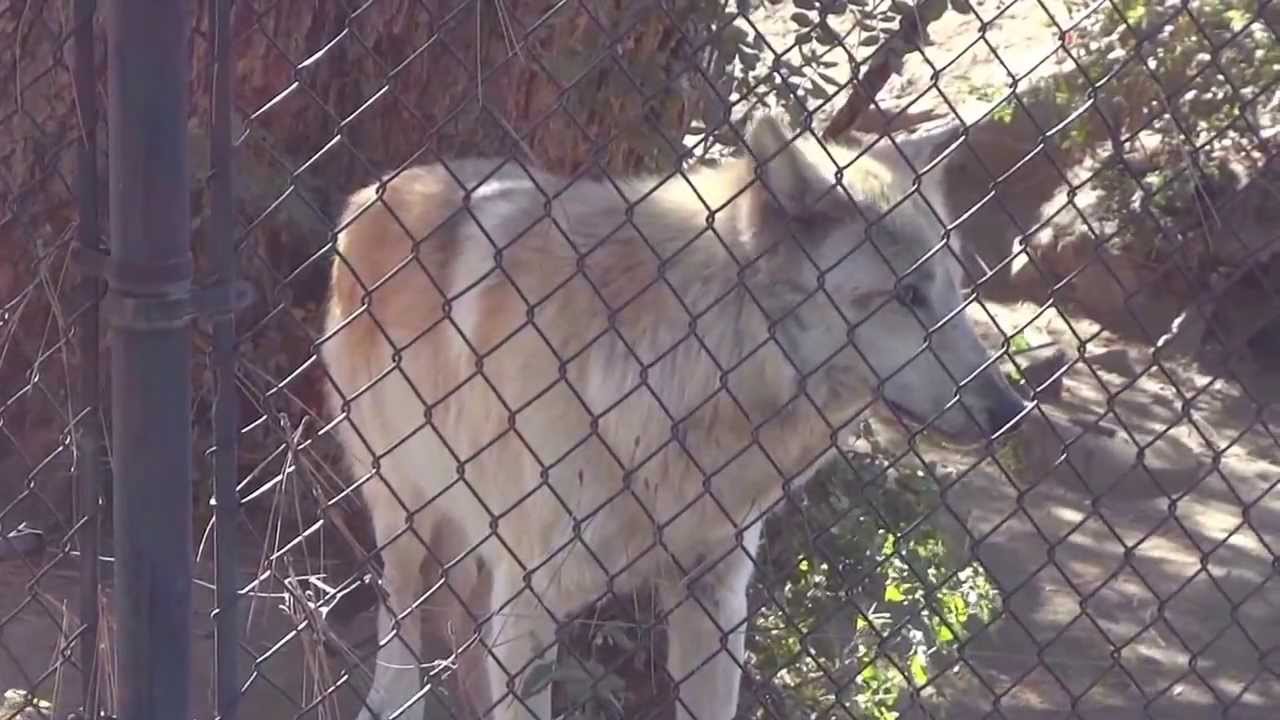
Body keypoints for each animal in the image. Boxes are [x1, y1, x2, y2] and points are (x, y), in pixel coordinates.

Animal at [319, 113, 1028, 720]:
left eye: (956, 288)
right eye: (907, 294)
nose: (1013, 412)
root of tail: (374, 190)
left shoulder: (715, 597)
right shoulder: (530, 604)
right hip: (405, 510)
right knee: (398, 618)